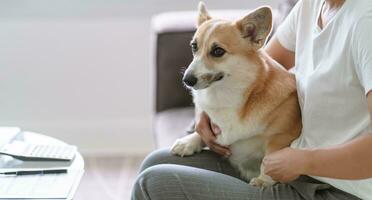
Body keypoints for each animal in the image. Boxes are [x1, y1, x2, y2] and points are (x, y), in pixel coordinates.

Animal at [171, 2, 302, 187]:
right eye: (194, 46)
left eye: (218, 51)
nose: (187, 80)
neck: (225, 94)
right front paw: (189, 142)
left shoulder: (281, 136)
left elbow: (270, 159)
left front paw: (263, 180)